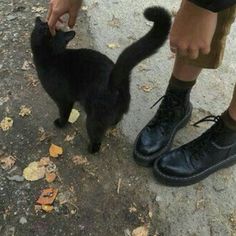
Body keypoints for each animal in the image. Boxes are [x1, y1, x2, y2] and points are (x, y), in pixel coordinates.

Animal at [30, 6, 171, 153]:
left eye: (49, 27)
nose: (45, 23)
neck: (51, 56)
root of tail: (116, 82)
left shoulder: (64, 100)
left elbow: (64, 113)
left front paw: (61, 123)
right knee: (117, 119)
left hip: (93, 119)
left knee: (97, 137)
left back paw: (91, 149)